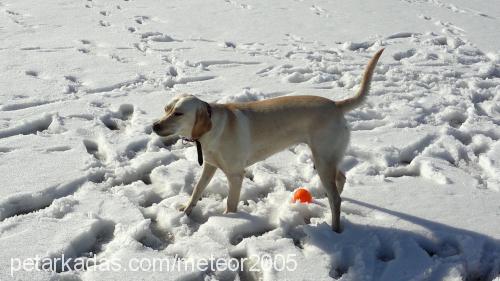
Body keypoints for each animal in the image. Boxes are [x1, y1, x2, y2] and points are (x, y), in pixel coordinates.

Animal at [154, 48, 384, 232]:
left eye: (178, 114)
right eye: (166, 109)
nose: (154, 126)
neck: (211, 130)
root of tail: (336, 105)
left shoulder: (236, 175)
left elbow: (230, 204)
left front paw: (229, 222)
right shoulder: (210, 166)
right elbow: (196, 190)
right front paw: (185, 211)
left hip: (323, 159)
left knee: (337, 198)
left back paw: (335, 230)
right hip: (328, 157)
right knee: (341, 179)